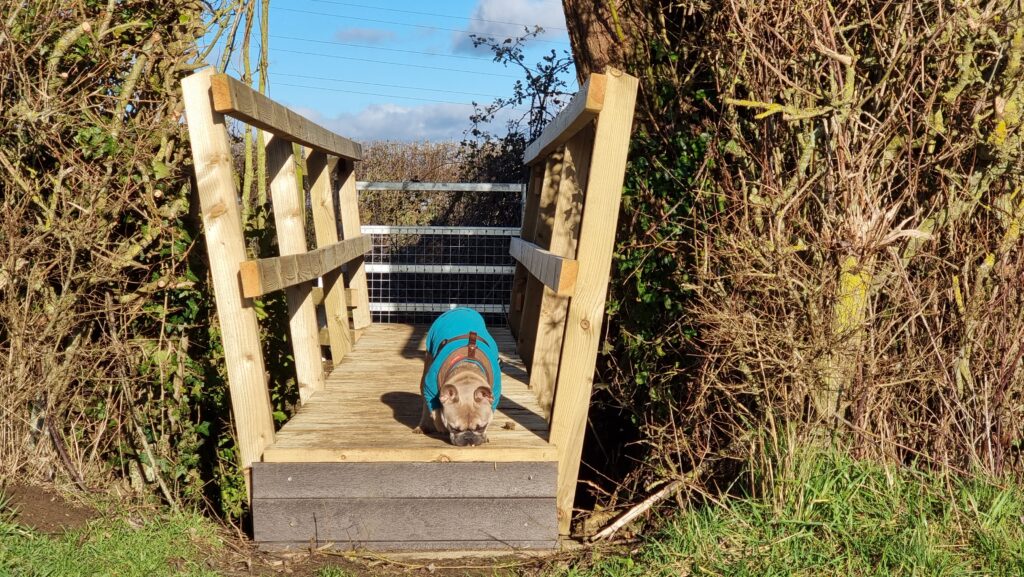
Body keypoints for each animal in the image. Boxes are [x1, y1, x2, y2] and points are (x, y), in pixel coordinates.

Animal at [415, 307, 503, 446]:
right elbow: (435, 410)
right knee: (425, 403)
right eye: (454, 429)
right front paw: (441, 425)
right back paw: (422, 426)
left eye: (481, 427)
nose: (468, 438)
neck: (467, 371)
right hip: (428, 361)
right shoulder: (430, 389)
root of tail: (461, 308)